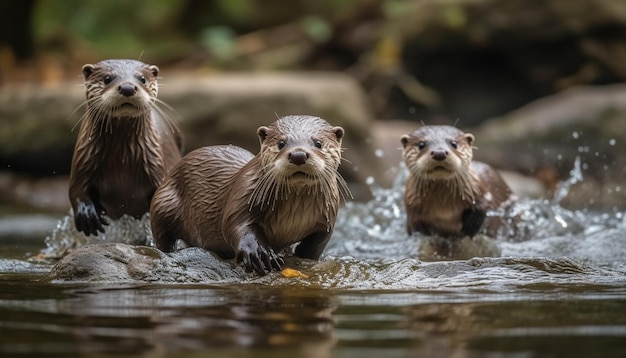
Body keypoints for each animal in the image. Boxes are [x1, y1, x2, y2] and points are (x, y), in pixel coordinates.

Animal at [70, 59, 184, 235]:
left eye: (142, 79)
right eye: (107, 78)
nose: (127, 88)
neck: (122, 162)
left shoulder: (156, 165)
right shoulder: (83, 161)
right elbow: (76, 190)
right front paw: (87, 216)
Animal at [149, 114, 348, 274]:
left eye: (318, 143)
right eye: (281, 143)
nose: (298, 154)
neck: (295, 212)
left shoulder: (327, 220)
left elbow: (315, 245)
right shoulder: (245, 192)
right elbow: (235, 224)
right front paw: (260, 254)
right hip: (163, 203)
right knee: (162, 236)